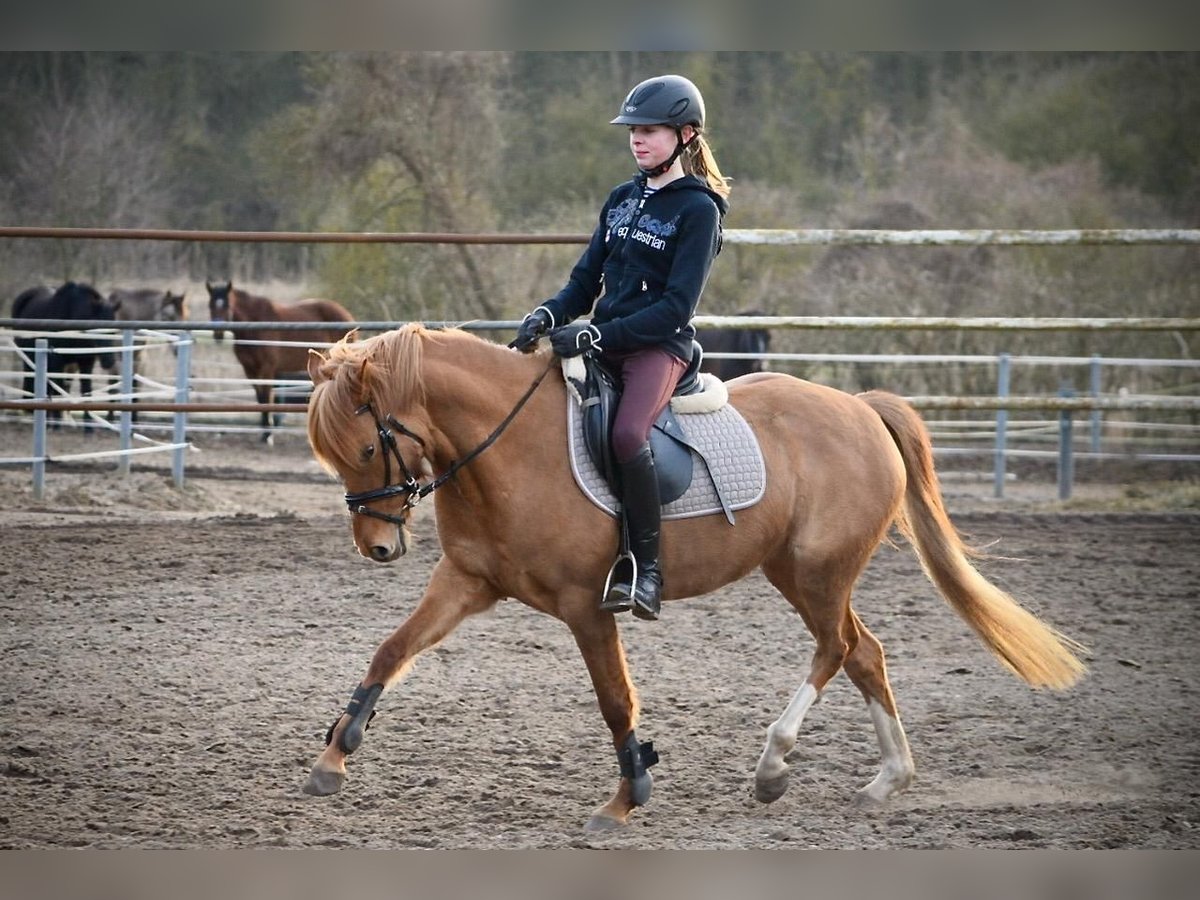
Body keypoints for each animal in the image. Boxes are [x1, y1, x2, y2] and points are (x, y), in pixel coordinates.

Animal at [12, 282, 117, 431]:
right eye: (96, 329)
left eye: (113, 330)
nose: (109, 362)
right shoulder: (57, 360)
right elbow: (58, 389)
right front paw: (57, 424)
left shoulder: (86, 361)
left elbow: (86, 390)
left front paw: (88, 427)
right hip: (29, 355)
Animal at [205, 280, 355, 443]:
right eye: (210, 305)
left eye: (227, 305)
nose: (218, 334)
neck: (254, 325)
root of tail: (347, 315)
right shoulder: (250, 370)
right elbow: (260, 399)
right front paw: (265, 432)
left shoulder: (267, 369)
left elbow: (266, 398)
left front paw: (268, 435)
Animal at [301, 325, 1087, 831]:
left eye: (366, 447)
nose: (377, 547)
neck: (508, 446)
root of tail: (860, 407)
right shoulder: (466, 581)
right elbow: (390, 652)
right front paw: (334, 759)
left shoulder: (588, 606)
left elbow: (616, 701)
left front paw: (626, 799)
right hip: (796, 570)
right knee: (865, 653)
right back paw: (885, 781)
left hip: (817, 572)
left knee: (838, 649)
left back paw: (774, 765)